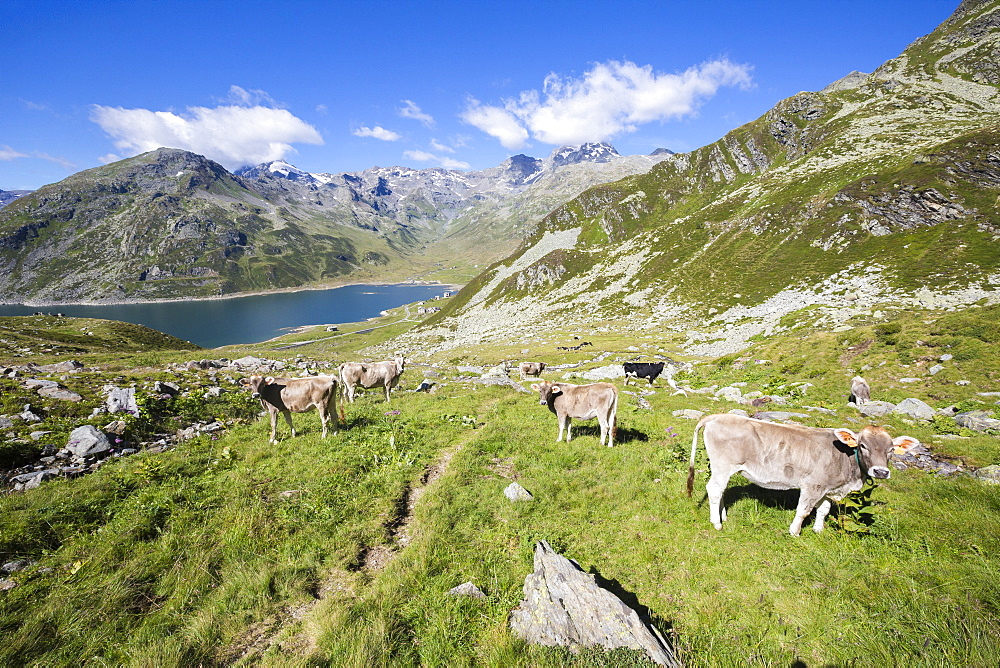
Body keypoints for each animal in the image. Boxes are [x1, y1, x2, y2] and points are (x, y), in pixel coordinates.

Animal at [688, 414, 916, 536]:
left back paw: (723, 516)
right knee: (714, 489)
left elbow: (823, 510)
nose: (881, 471)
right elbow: (804, 511)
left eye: (891, 450)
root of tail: (719, 416)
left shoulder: (828, 488)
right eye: (863, 446)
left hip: (724, 469)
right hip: (722, 465)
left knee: (721, 490)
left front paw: (818, 530)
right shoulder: (813, 485)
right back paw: (716, 523)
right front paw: (795, 531)